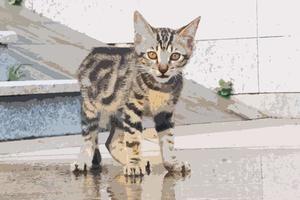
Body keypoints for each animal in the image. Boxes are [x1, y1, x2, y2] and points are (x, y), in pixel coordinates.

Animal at [71, 11, 200, 177]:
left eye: (175, 56)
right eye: (152, 55)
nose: (163, 69)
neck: (159, 87)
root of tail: (91, 53)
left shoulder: (165, 112)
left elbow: (168, 140)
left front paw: (172, 163)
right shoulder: (132, 108)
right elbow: (133, 139)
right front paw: (133, 165)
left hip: (119, 112)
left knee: (111, 142)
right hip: (91, 106)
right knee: (90, 136)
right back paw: (84, 160)